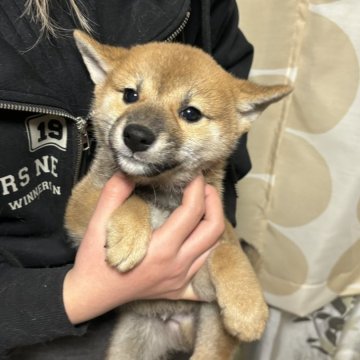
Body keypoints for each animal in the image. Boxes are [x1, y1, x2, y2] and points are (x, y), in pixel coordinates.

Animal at [66, 31, 292, 360]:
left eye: (190, 113)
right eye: (130, 95)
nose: (136, 135)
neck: (162, 196)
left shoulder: (208, 244)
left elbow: (228, 249)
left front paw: (247, 305)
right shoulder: (80, 205)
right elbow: (133, 199)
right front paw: (130, 236)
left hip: (211, 336)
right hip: (127, 345)